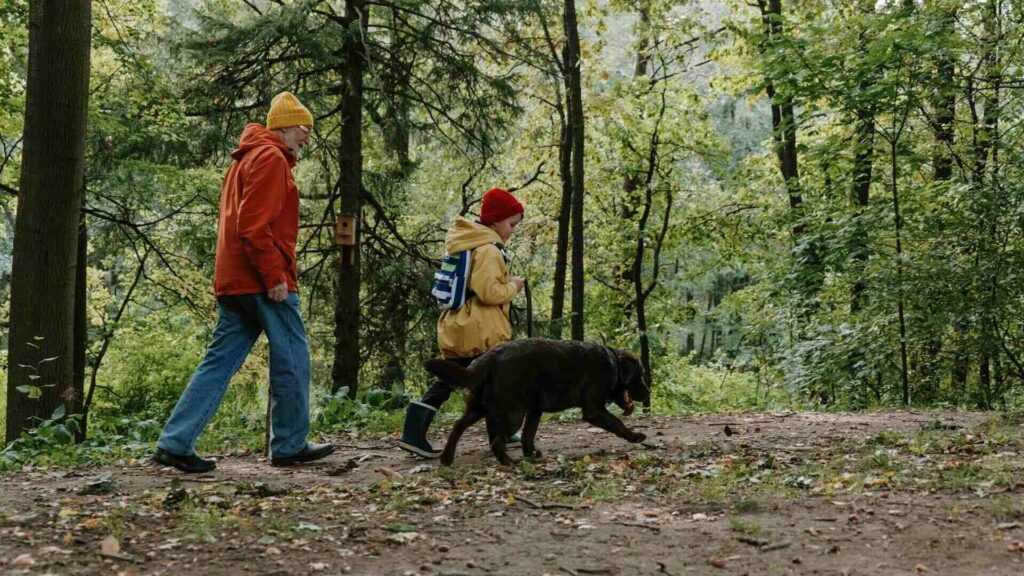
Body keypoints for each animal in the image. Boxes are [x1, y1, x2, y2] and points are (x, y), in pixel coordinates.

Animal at [421, 338, 647, 463]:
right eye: (640, 375)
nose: (647, 394)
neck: (613, 363)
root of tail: (488, 357)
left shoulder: (535, 410)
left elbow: (528, 435)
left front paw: (530, 454)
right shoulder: (593, 409)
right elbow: (617, 423)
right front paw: (635, 436)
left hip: (480, 408)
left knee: (458, 426)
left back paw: (447, 458)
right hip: (512, 414)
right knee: (496, 440)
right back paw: (508, 462)